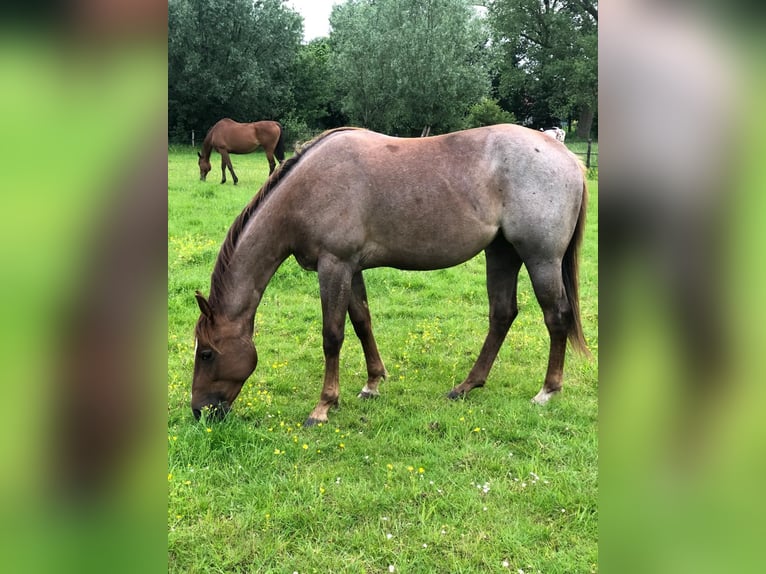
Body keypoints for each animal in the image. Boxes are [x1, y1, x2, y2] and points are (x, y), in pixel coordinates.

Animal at [190, 122, 588, 428]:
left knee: (556, 317)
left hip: (540, 257)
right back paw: (467, 386)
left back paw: (547, 391)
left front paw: (323, 406)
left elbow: (332, 336)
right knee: (502, 314)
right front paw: (372, 383)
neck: (309, 188)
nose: (200, 412)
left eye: (207, 353)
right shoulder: (350, 268)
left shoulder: (334, 265)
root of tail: (567, 157)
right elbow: (362, 322)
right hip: (502, 253)